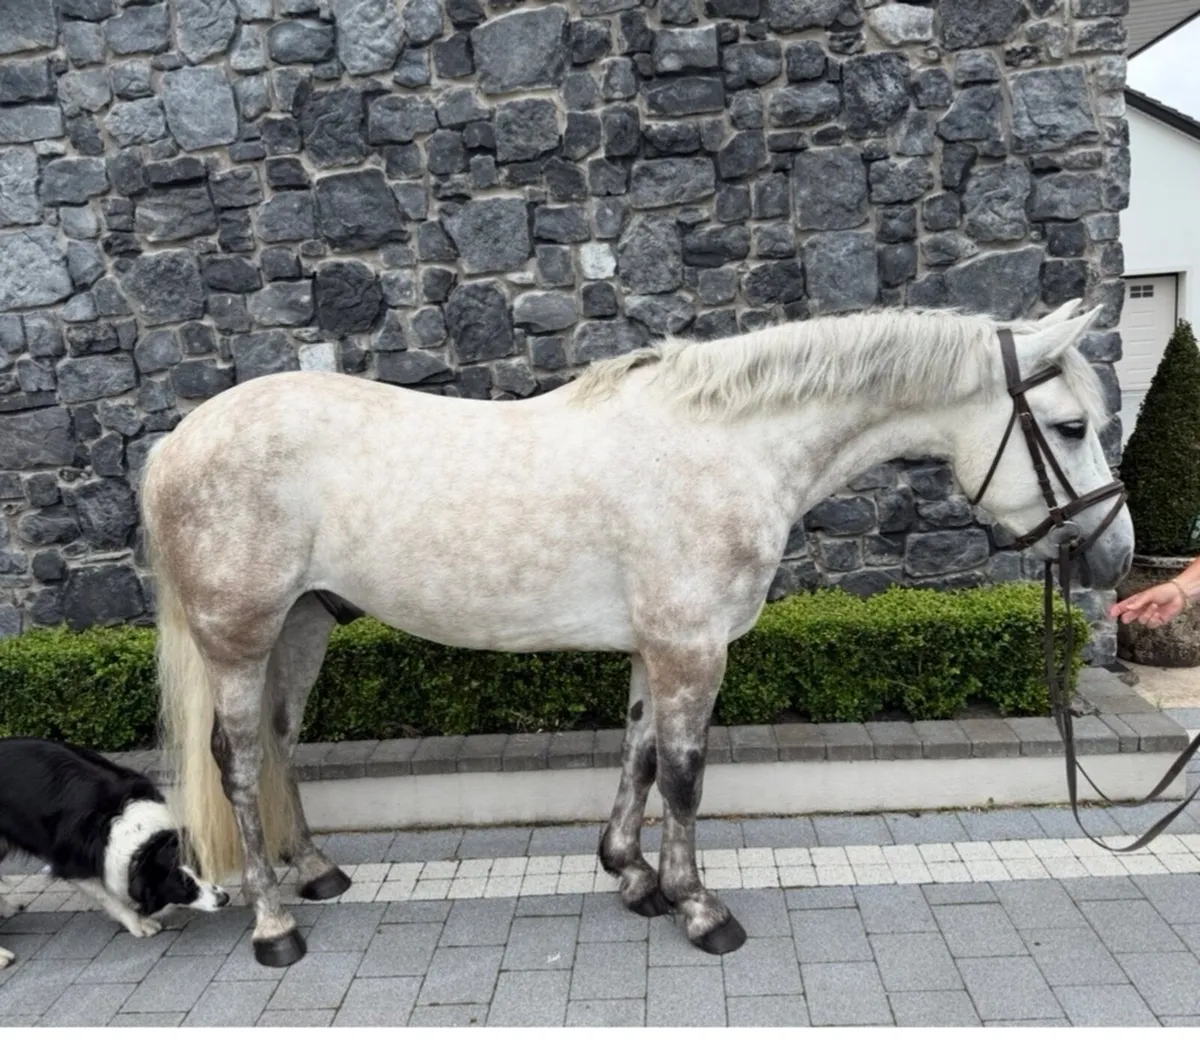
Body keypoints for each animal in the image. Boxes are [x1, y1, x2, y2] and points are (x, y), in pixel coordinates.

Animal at [141, 299, 1134, 967]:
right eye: (1070, 425)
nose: (1114, 554)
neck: (728, 447)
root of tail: (177, 442)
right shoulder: (693, 645)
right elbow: (687, 775)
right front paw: (698, 907)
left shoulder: (657, 645)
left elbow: (642, 753)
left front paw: (630, 874)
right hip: (240, 636)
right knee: (237, 760)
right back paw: (276, 923)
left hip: (304, 622)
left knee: (280, 741)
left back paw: (313, 868)